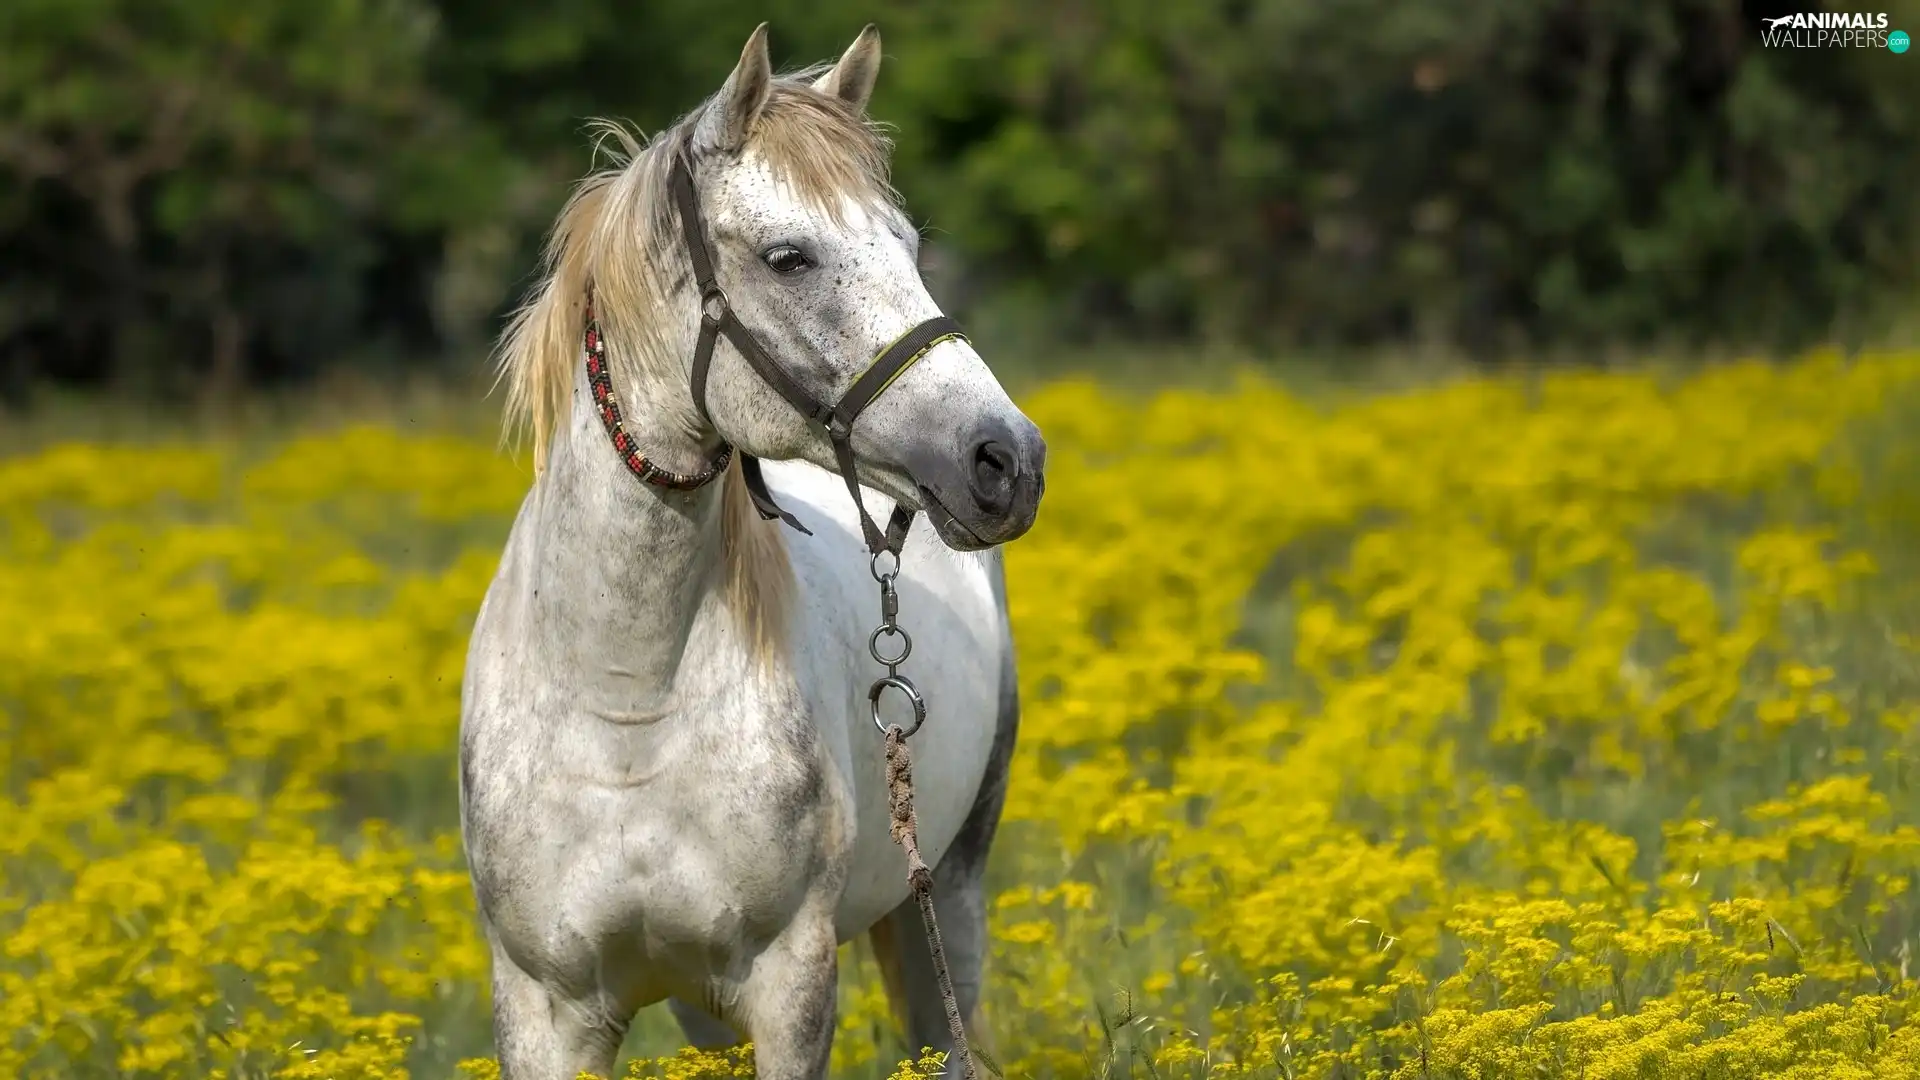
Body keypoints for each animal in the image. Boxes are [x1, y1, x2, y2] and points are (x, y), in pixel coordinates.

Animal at [456, 25, 1044, 1076]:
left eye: (908, 247)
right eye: (789, 257)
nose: (1007, 459)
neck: (625, 703)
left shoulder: (790, 983)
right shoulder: (543, 1008)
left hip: (950, 893)